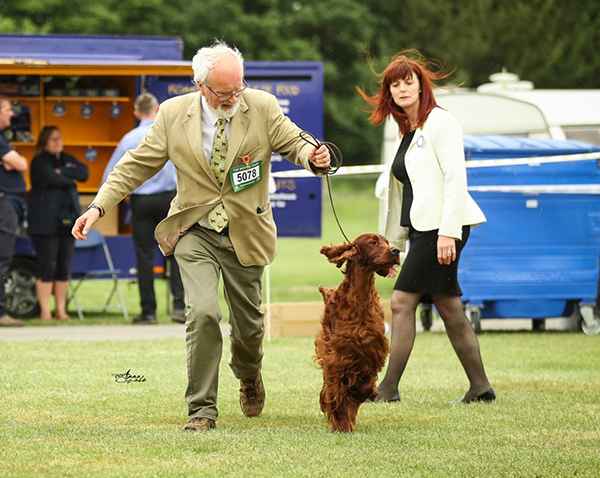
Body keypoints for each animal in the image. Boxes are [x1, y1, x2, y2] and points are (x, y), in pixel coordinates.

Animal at [315, 233, 400, 432]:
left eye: (387, 242)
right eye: (374, 242)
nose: (396, 250)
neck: (360, 300)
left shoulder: (372, 351)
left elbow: (365, 387)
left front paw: (354, 402)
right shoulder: (338, 356)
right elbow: (336, 390)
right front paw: (342, 424)